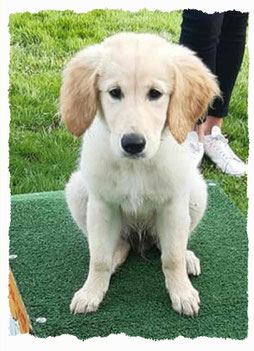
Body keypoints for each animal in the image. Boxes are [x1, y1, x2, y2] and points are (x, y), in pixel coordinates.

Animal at [60, 33, 220, 318]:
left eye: (155, 94)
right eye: (114, 92)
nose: (133, 143)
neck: (135, 167)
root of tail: (140, 239)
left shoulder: (174, 204)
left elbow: (172, 257)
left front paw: (182, 292)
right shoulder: (101, 204)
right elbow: (98, 258)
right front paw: (91, 292)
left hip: (196, 191)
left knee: (168, 244)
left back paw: (188, 258)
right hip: (77, 190)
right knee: (116, 244)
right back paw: (116, 256)